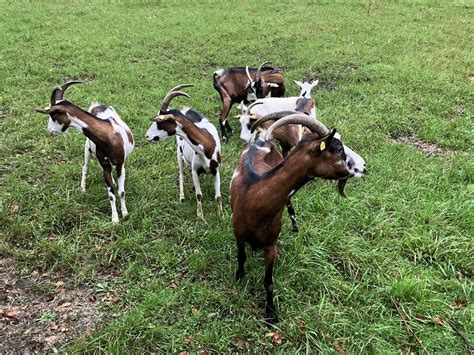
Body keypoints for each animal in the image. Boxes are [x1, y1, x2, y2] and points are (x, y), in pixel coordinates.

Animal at [35, 82, 133, 224]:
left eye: (53, 115)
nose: (50, 131)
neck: (108, 136)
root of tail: (97, 105)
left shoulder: (120, 164)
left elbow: (121, 192)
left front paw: (125, 214)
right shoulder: (105, 166)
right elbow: (111, 195)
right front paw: (115, 219)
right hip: (87, 148)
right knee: (85, 168)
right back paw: (83, 189)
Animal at [145, 85, 223, 220]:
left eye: (159, 122)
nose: (147, 136)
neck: (207, 145)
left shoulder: (216, 170)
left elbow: (218, 197)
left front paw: (221, 216)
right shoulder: (195, 171)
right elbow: (199, 195)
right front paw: (200, 216)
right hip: (178, 153)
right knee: (181, 173)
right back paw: (181, 197)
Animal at [230, 114, 366, 326]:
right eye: (338, 149)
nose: (364, 167)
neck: (254, 198)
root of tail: (264, 141)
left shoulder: (271, 245)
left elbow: (268, 282)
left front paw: (271, 314)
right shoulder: (238, 235)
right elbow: (241, 257)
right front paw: (239, 277)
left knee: (290, 206)